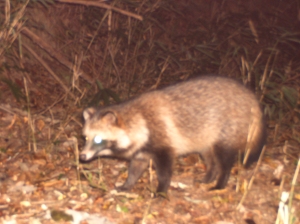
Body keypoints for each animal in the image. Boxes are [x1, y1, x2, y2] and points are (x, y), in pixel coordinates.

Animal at [81, 75, 266, 194]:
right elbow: (135, 168)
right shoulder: (142, 149)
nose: (82, 156)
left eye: (98, 139)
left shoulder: (163, 142)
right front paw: (127, 185)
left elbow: (164, 171)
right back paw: (209, 176)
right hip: (205, 136)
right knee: (210, 158)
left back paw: (220, 182)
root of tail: (252, 98)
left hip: (228, 130)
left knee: (224, 160)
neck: (139, 118)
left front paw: (161, 190)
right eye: (86, 138)